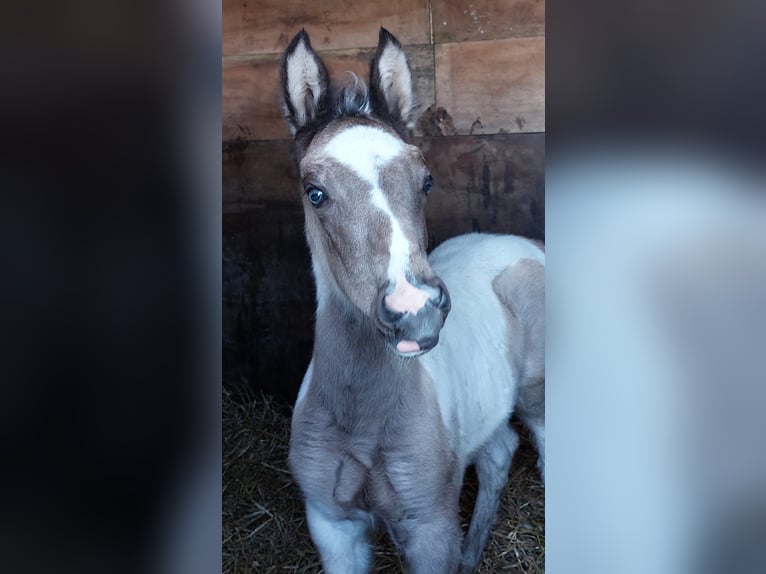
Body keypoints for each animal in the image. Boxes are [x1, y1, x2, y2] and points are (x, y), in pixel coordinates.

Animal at [282, 28, 544, 574]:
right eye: (315, 192)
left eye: (425, 180)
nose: (414, 311)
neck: (361, 418)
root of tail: (527, 244)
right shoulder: (331, 525)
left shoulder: (429, 528)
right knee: (499, 451)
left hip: (541, 396)